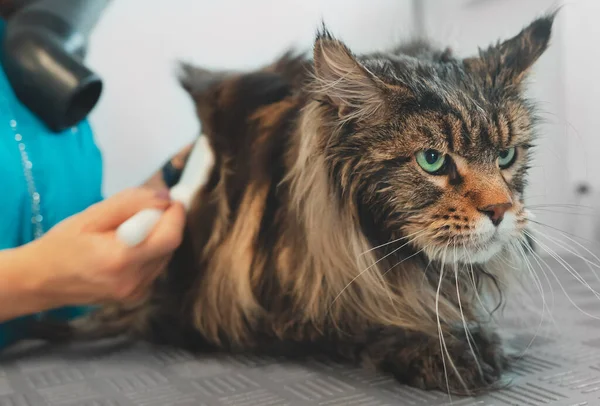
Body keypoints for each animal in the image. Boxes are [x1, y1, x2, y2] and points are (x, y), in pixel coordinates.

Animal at [32, 13, 556, 396]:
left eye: (507, 156)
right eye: (432, 160)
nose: (500, 211)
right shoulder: (250, 315)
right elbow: (357, 324)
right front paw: (444, 349)